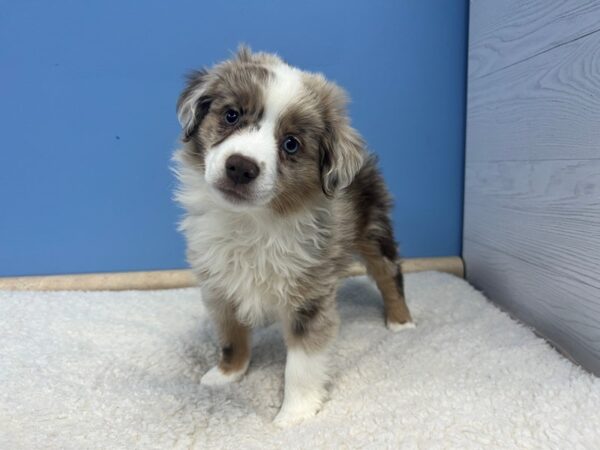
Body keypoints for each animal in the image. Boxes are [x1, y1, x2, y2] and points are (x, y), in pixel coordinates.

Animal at [173, 46, 412, 426]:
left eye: (291, 144)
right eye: (231, 115)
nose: (240, 166)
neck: (253, 223)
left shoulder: (309, 297)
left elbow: (301, 365)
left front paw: (294, 416)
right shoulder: (218, 285)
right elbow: (230, 335)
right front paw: (226, 374)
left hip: (374, 227)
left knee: (390, 273)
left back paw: (401, 321)